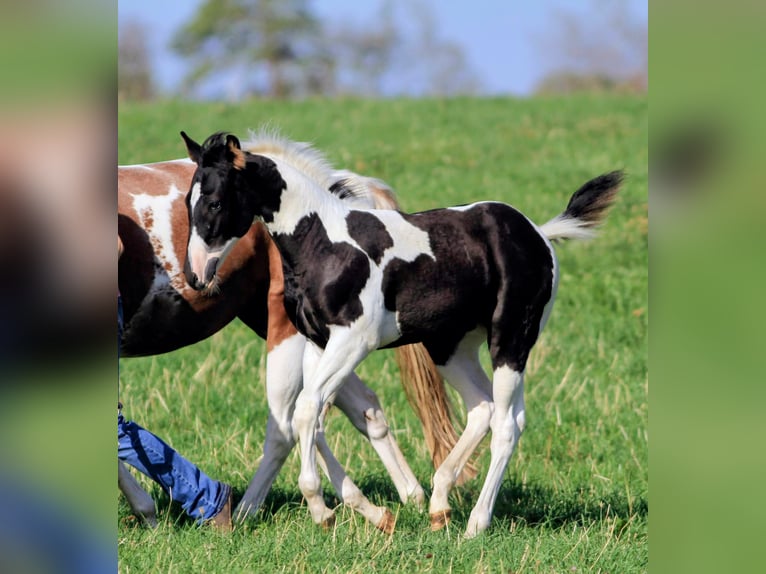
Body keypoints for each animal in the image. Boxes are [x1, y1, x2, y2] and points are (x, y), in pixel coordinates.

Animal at [118, 135, 475, 532]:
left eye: (215, 204)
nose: (194, 275)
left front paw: (147, 510)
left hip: (289, 332)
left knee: (287, 425)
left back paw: (249, 512)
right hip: (313, 335)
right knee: (354, 409)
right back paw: (399, 499)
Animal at [180, 130, 622, 538]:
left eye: (215, 202)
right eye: (187, 202)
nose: (196, 276)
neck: (324, 242)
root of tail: (539, 233)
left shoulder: (353, 341)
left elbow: (306, 411)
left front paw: (322, 510)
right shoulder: (317, 342)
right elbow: (308, 418)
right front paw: (351, 510)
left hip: (512, 340)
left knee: (508, 425)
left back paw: (476, 524)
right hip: (450, 347)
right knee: (482, 407)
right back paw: (439, 505)